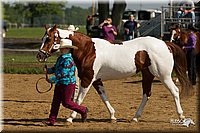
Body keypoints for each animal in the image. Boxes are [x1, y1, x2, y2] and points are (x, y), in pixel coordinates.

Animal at [36, 25, 194, 123]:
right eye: (43, 38)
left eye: (49, 38)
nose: (40, 55)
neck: (88, 50)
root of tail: (165, 44)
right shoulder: (96, 80)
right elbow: (104, 97)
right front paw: (112, 116)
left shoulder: (88, 79)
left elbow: (79, 99)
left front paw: (70, 118)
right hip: (148, 75)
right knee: (146, 94)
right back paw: (135, 117)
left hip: (164, 76)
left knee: (175, 91)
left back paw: (181, 116)